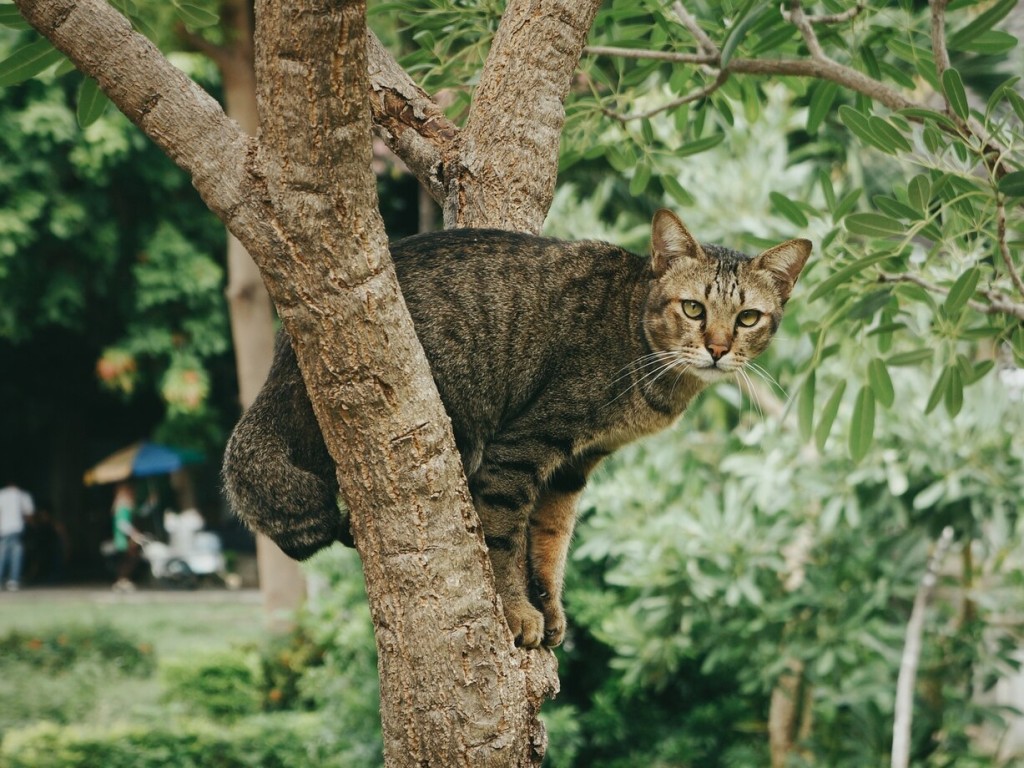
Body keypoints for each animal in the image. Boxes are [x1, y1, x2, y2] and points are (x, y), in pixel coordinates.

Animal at [222, 208, 806, 651]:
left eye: (748, 318)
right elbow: (504, 537)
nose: (718, 349)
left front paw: (548, 606)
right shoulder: (525, 445)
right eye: (693, 308)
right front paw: (516, 610)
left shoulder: (575, 465)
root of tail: (284, 355)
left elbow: (550, 544)